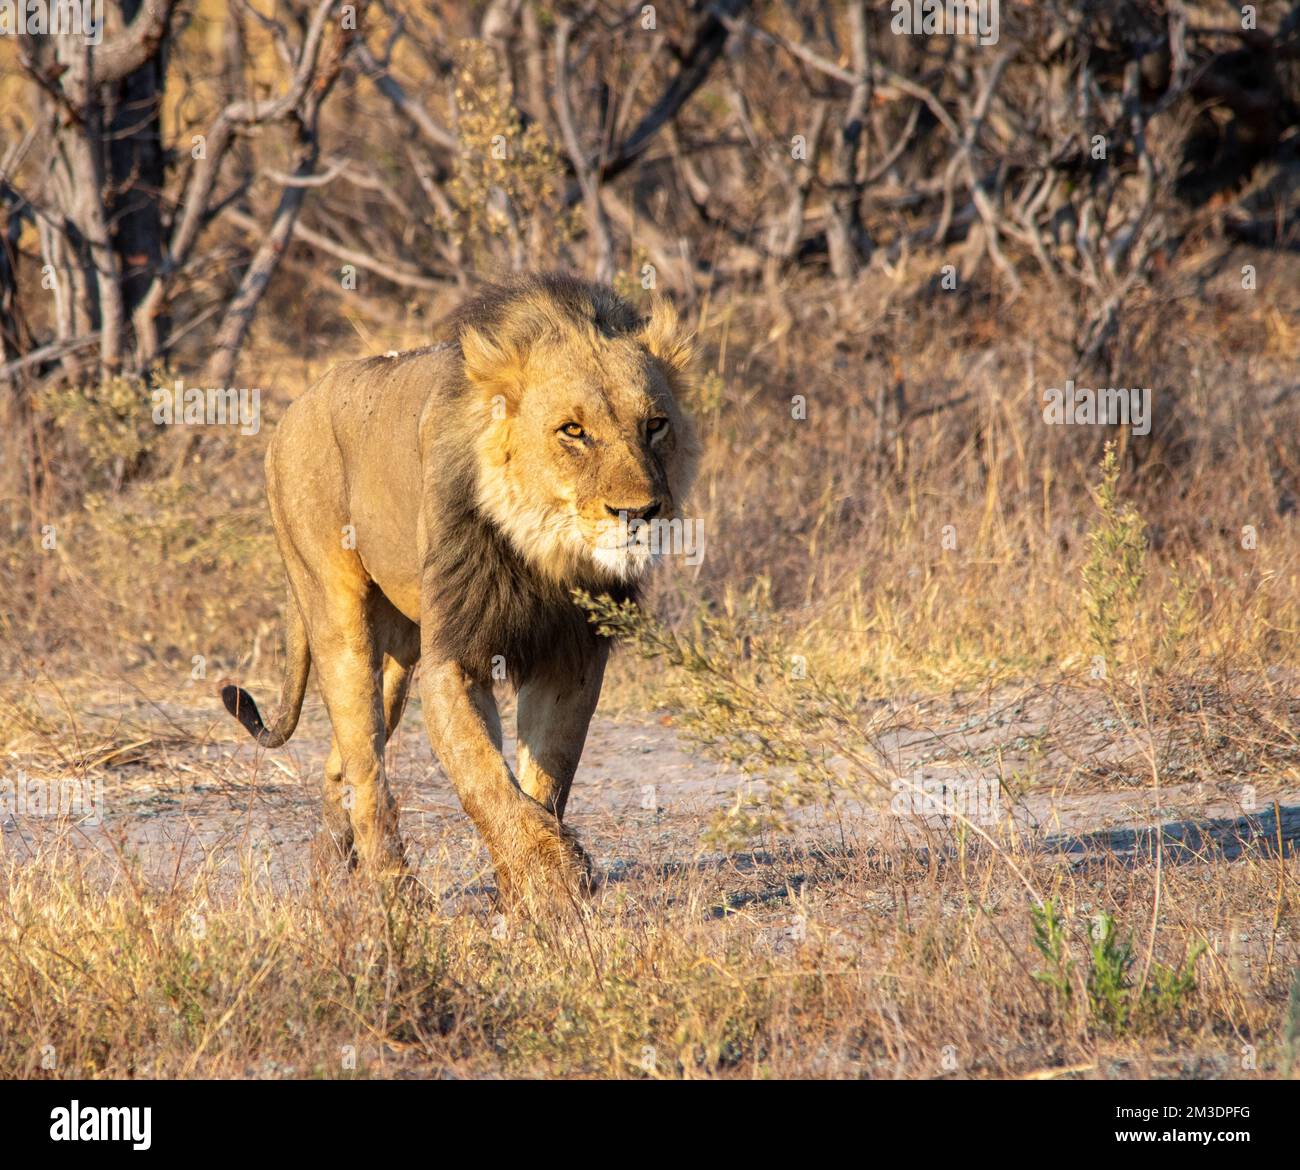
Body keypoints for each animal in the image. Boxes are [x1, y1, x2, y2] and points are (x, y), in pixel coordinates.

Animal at [219, 273, 699, 907]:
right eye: (573, 431)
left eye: (654, 425)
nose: (640, 513)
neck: (543, 551)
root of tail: (296, 405)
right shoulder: (457, 656)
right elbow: (483, 776)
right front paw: (552, 877)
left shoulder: (572, 657)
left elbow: (547, 773)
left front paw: (528, 888)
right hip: (334, 609)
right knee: (366, 760)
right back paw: (393, 890)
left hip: (400, 649)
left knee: (343, 761)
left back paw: (328, 877)